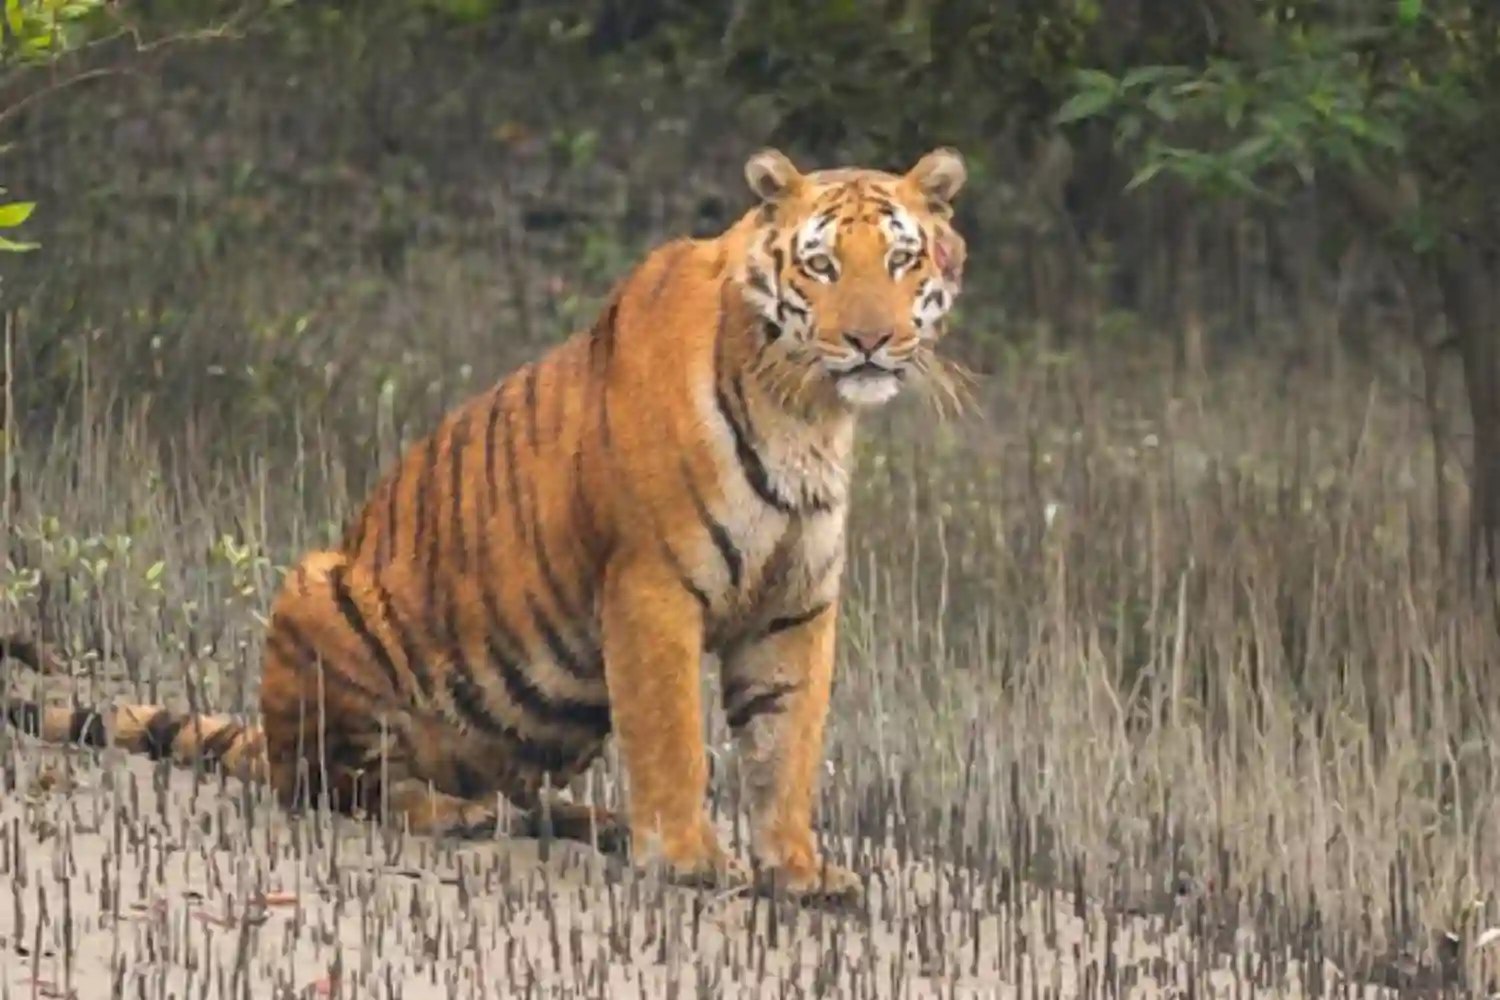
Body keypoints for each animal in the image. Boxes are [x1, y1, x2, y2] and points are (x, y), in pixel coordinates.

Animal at [2, 145, 970, 904]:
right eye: (822, 266)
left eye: (899, 261)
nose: (870, 343)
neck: (808, 411)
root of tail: (262, 735)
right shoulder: (652, 585)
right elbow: (673, 737)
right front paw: (689, 858)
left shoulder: (793, 607)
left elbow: (786, 747)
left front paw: (799, 871)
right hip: (319, 594)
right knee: (330, 784)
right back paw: (450, 813)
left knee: (512, 794)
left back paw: (590, 819)